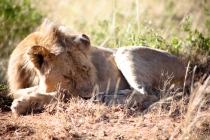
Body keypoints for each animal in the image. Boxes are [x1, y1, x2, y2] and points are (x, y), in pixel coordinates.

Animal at [7, 19, 186, 116]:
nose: (89, 98)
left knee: (146, 94)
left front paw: (23, 103)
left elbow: (58, 95)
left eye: (86, 70)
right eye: (68, 77)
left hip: (125, 51)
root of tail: (186, 70)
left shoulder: (69, 95)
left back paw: (111, 98)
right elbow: (18, 91)